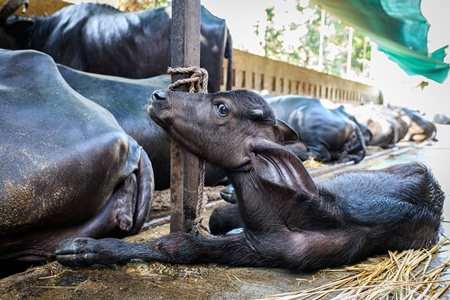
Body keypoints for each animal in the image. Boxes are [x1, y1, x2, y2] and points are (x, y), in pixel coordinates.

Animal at [55, 89, 442, 272]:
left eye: (222, 107)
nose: (158, 95)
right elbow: (214, 218)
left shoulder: (265, 251)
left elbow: (180, 246)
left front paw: (83, 248)